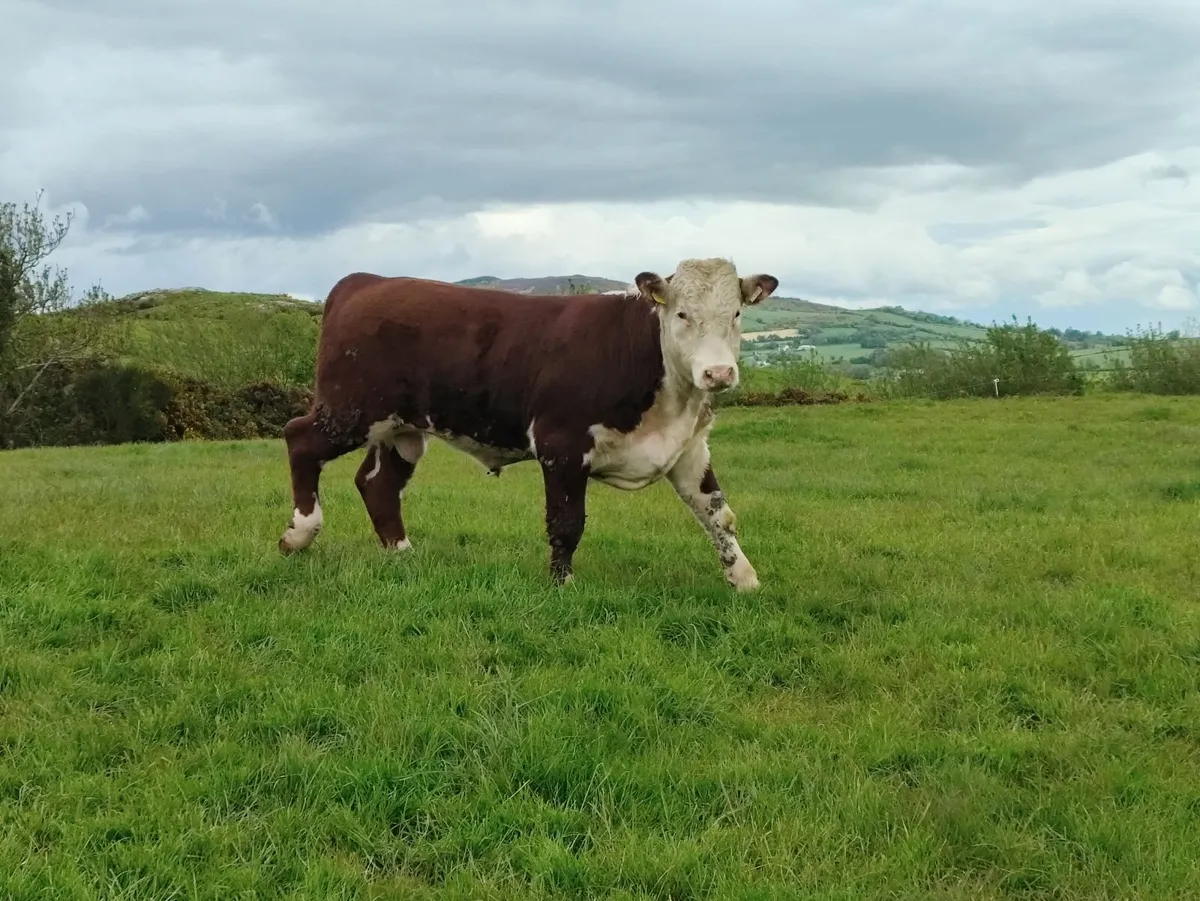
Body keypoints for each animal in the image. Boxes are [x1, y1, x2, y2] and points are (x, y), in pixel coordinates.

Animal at [278, 257, 778, 590]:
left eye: (736, 313)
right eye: (681, 313)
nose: (718, 373)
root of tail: (367, 281)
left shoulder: (689, 450)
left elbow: (719, 514)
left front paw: (744, 578)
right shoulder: (562, 445)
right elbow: (567, 521)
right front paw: (562, 584)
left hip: (401, 427)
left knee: (377, 484)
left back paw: (401, 554)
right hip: (350, 410)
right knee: (299, 440)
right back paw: (299, 535)